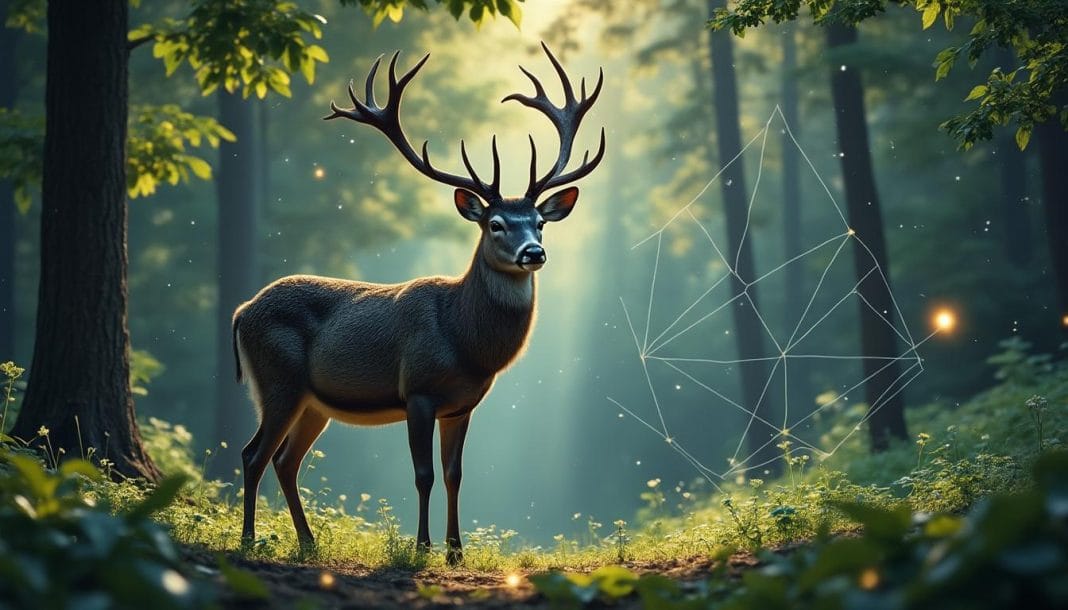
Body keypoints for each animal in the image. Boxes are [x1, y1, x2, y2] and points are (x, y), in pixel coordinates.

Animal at [232, 43, 604, 564]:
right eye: (496, 224)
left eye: (540, 222)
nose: (534, 253)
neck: (464, 342)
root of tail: (241, 311)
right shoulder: (419, 391)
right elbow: (423, 475)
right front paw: (423, 546)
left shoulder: (463, 405)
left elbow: (455, 475)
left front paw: (456, 551)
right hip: (278, 380)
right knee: (253, 454)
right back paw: (248, 540)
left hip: (313, 402)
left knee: (286, 461)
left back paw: (307, 543)